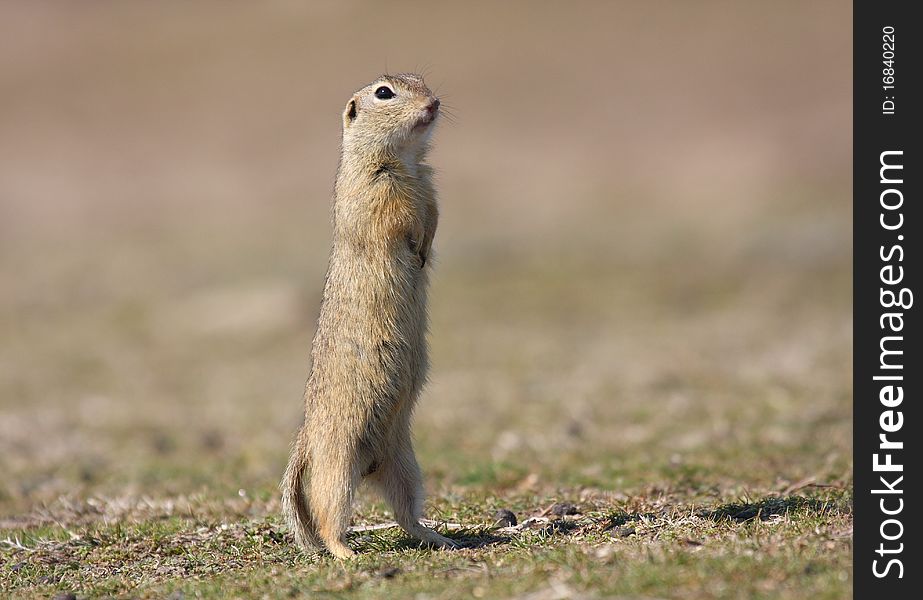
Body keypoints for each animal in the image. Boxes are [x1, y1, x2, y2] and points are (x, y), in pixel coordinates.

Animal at [280, 74, 456, 556]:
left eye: (422, 81)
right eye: (384, 93)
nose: (435, 102)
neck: (405, 160)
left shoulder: (430, 189)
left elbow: (433, 215)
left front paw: (426, 249)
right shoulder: (378, 192)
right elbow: (397, 221)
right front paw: (415, 250)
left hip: (405, 464)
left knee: (406, 515)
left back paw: (442, 538)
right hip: (338, 464)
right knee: (326, 515)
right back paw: (344, 553)